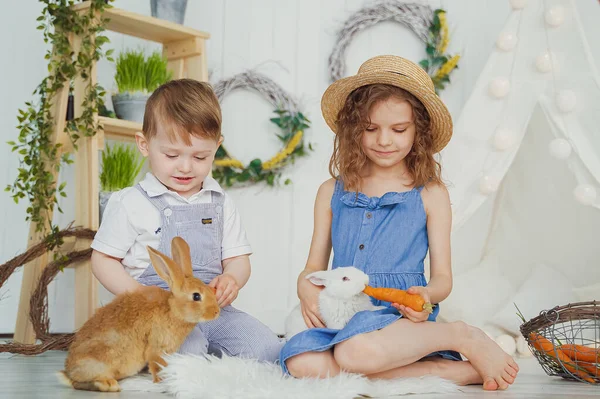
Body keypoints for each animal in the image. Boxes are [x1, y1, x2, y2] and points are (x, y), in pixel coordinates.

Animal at [56, 238, 219, 394]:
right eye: (196, 296)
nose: (216, 312)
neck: (172, 310)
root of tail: (68, 372)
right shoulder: (156, 347)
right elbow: (157, 365)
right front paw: (163, 381)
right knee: (78, 383)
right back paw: (108, 385)